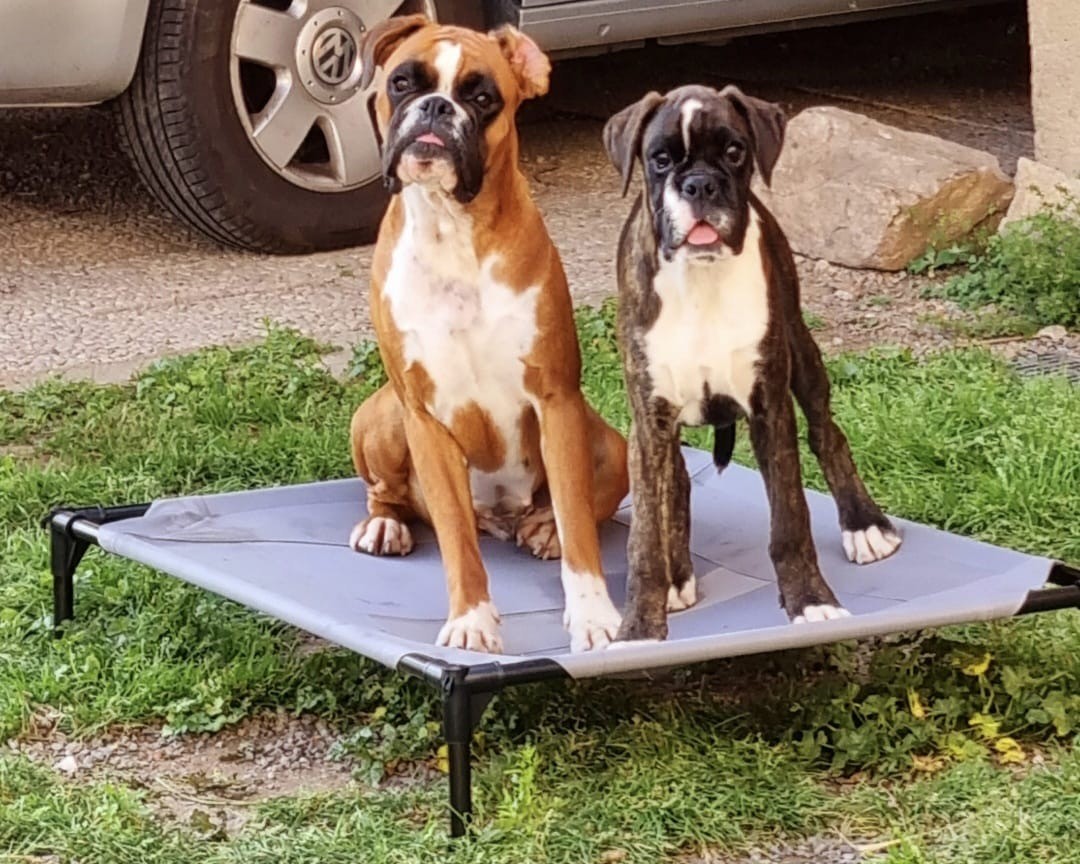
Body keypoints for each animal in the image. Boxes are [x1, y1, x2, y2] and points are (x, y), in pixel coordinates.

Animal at [347, 15, 628, 654]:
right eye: (402, 81)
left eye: (481, 98)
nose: (435, 107)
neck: (452, 228)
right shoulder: (423, 417)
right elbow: (456, 537)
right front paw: (472, 620)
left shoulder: (555, 400)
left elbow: (579, 524)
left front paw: (592, 614)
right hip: (380, 415)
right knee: (388, 493)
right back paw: (385, 524)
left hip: (609, 442)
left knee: (581, 507)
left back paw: (543, 526)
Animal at [603, 85, 902, 641]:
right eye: (660, 159)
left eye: (735, 151)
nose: (700, 184)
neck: (702, 279)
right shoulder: (649, 420)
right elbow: (645, 537)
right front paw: (640, 628)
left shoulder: (770, 410)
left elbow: (790, 519)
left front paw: (811, 601)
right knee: (677, 482)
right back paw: (678, 574)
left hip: (802, 350)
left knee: (827, 433)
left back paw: (863, 524)